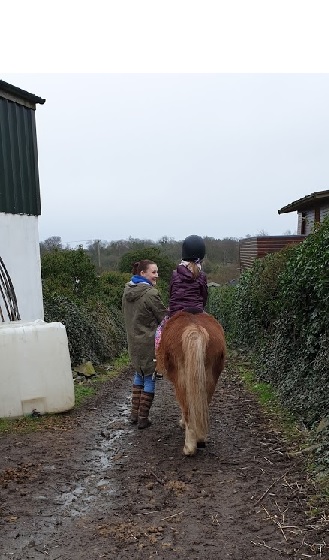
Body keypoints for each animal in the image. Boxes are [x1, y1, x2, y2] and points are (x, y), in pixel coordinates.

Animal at [156, 308, 226, 458]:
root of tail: (195, 329)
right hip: (209, 378)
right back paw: (200, 438)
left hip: (181, 380)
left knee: (187, 407)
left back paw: (189, 447)